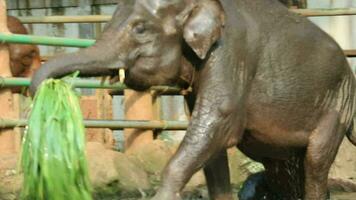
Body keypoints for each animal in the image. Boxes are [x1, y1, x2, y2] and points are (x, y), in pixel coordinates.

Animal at [29, 0, 354, 200]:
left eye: (140, 29)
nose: (40, 91)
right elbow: (212, 152)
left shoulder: (230, 52)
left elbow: (216, 121)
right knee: (280, 164)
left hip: (337, 104)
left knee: (315, 160)